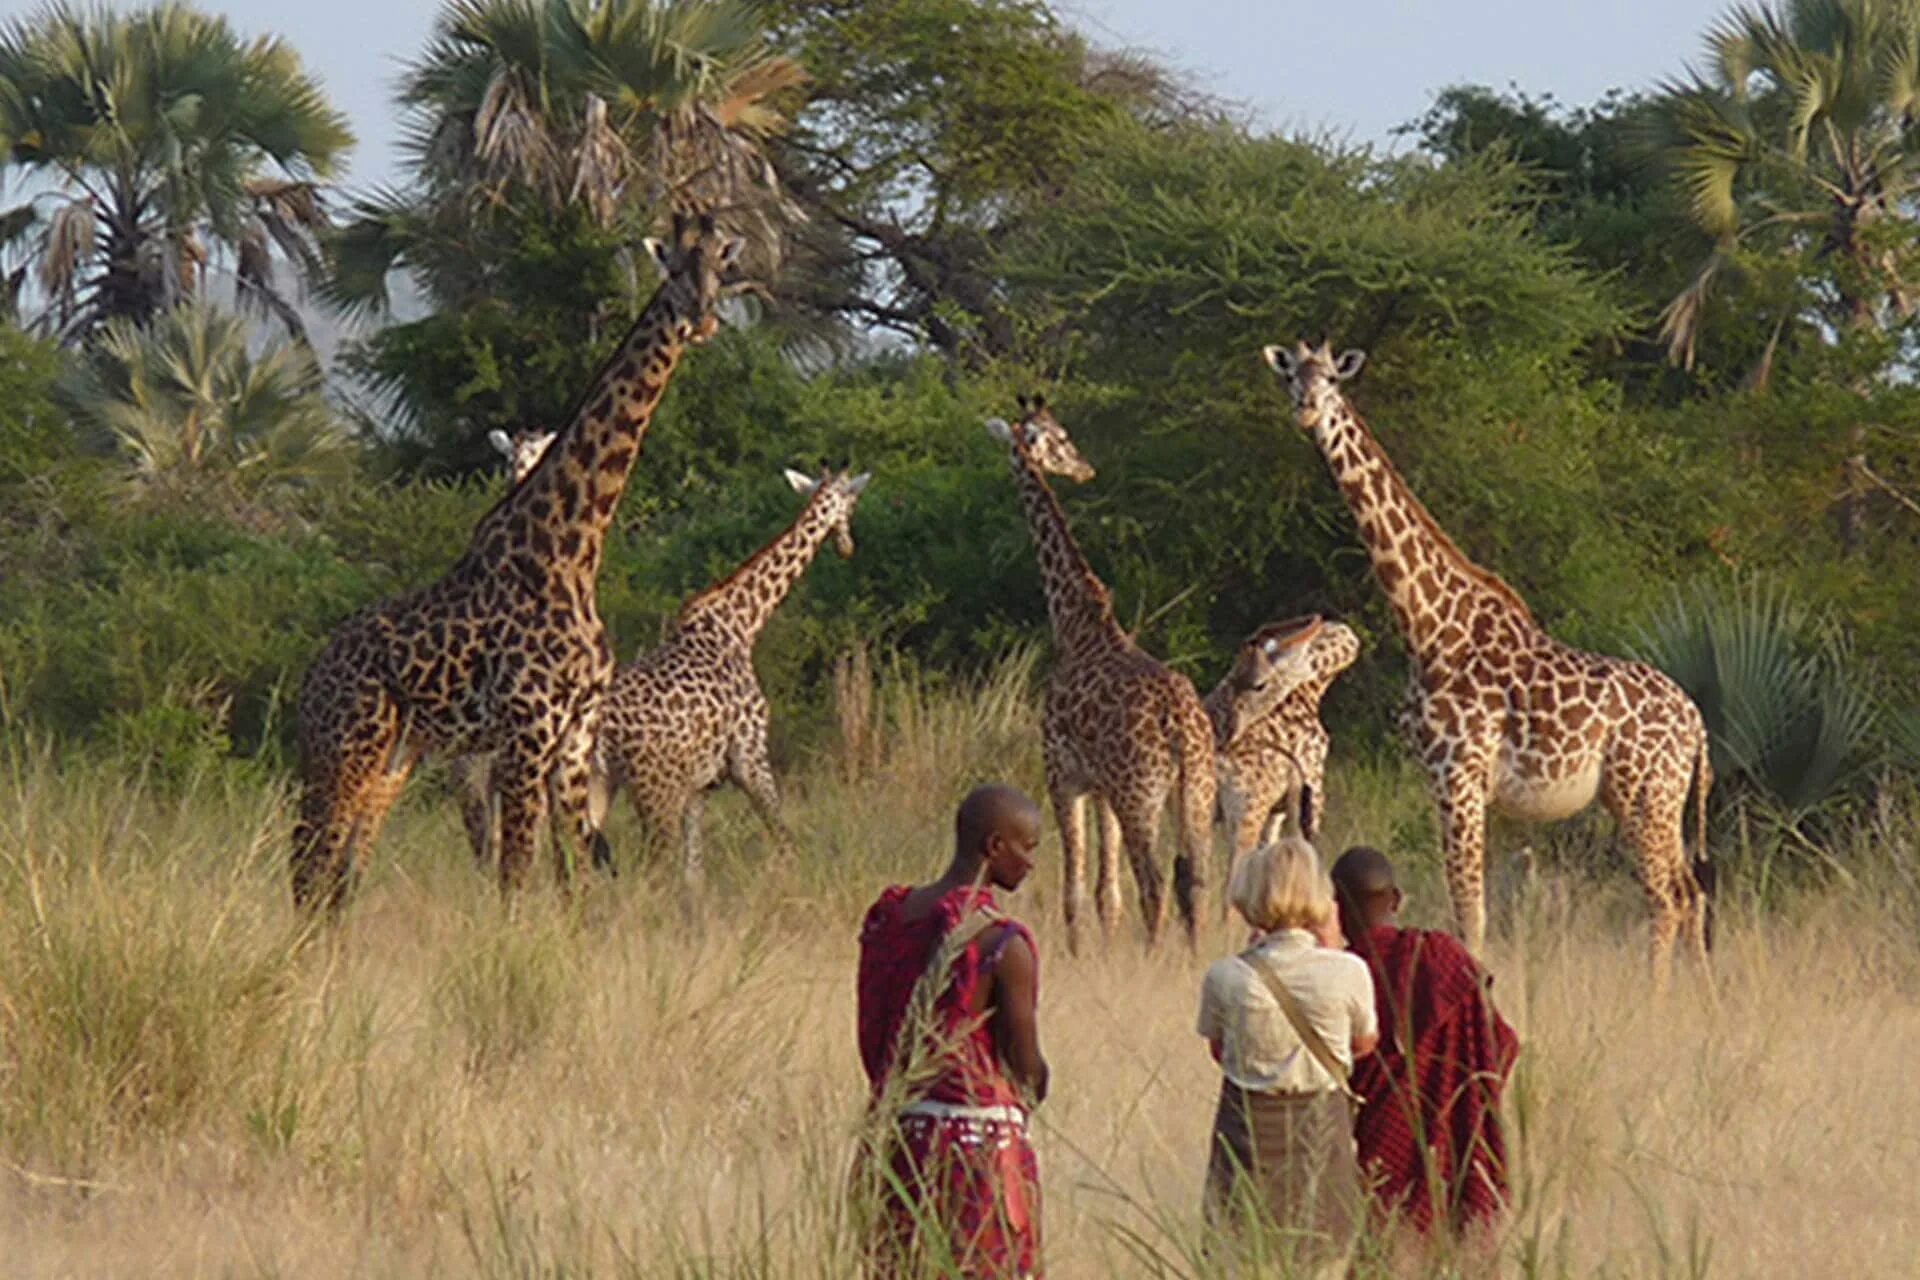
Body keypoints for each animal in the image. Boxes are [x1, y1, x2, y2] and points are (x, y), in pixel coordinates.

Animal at [291, 213, 741, 909]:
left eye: (723, 263)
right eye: (672, 267)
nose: (703, 318)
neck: (573, 551)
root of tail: (312, 677)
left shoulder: (574, 738)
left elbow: (575, 878)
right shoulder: (528, 731)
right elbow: (516, 875)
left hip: (393, 758)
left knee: (341, 871)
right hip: (346, 748)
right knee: (309, 866)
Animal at [591, 466, 879, 886]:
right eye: (854, 502)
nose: (847, 546)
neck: (740, 624)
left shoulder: (700, 783)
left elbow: (694, 870)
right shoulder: (750, 754)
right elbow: (782, 833)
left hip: (594, 784)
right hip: (653, 788)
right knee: (650, 867)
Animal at [990, 397, 1213, 951]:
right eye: (1063, 437)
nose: (1085, 468)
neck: (1075, 622)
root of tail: (1180, 725)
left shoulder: (1062, 774)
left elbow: (1075, 890)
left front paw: (1078, 955)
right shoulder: (1102, 788)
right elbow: (1106, 896)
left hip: (1141, 796)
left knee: (1154, 883)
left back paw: (1153, 957)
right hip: (1195, 793)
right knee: (1196, 881)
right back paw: (1192, 956)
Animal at [1198, 614, 1367, 875]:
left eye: (1256, 684)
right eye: (1232, 680)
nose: (1227, 734)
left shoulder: (1276, 814)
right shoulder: (1313, 800)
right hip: (1245, 814)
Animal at [1259, 339, 1712, 982]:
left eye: (1332, 381)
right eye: (1291, 377)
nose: (1306, 410)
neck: (1428, 624)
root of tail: (1696, 724)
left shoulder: (1461, 773)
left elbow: (1468, 911)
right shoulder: (1443, 779)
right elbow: (1468, 906)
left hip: (1644, 792)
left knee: (1667, 896)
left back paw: (1658, 996)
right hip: (1655, 799)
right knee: (1690, 891)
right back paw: (1704, 994)